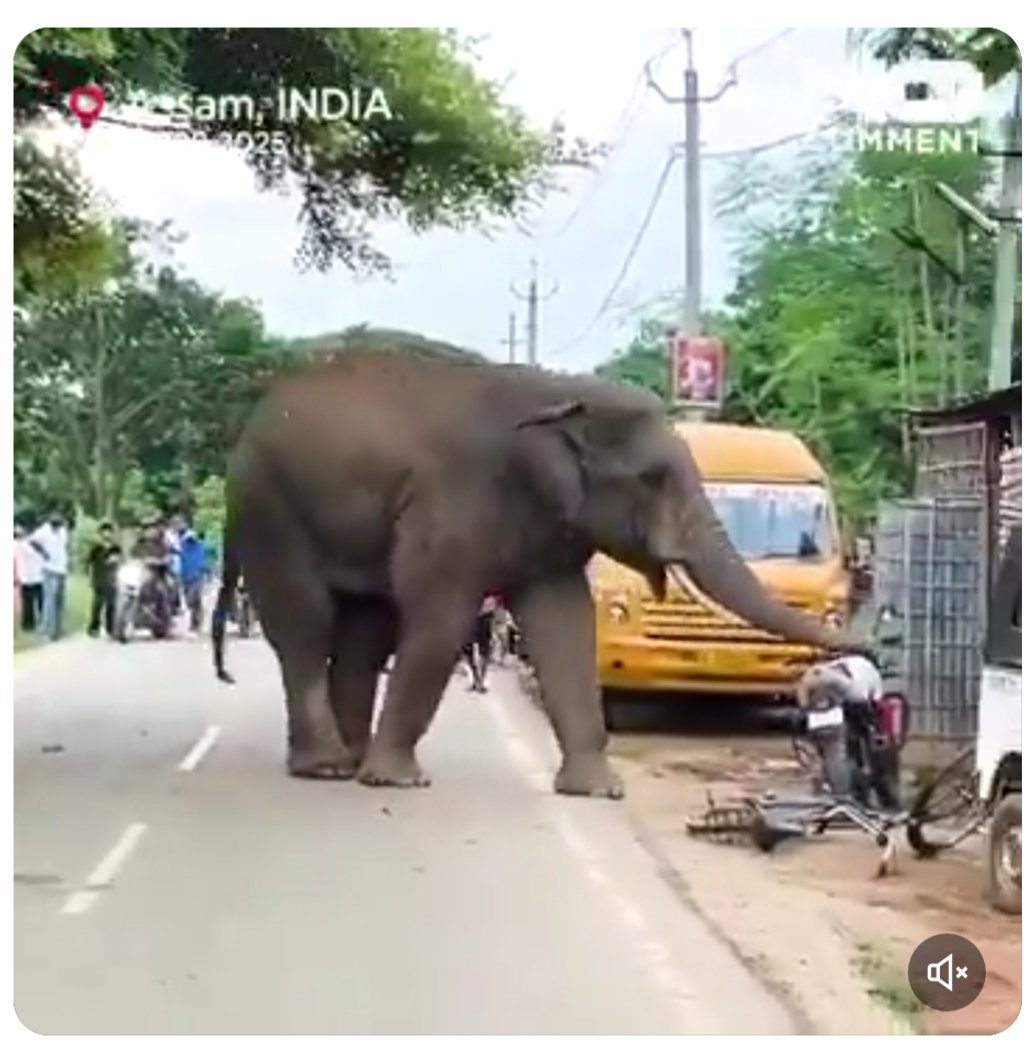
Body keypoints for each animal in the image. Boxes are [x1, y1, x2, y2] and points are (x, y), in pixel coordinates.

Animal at [211, 339, 860, 797]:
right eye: (651, 479)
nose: (859, 647)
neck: (555, 393)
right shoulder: (452, 505)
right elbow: (440, 622)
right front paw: (399, 782)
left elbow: (566, 627)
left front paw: (598, 792)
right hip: (270, 504)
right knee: (307, 624)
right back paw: (327, 768)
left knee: (364, 630)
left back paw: (349, 763)